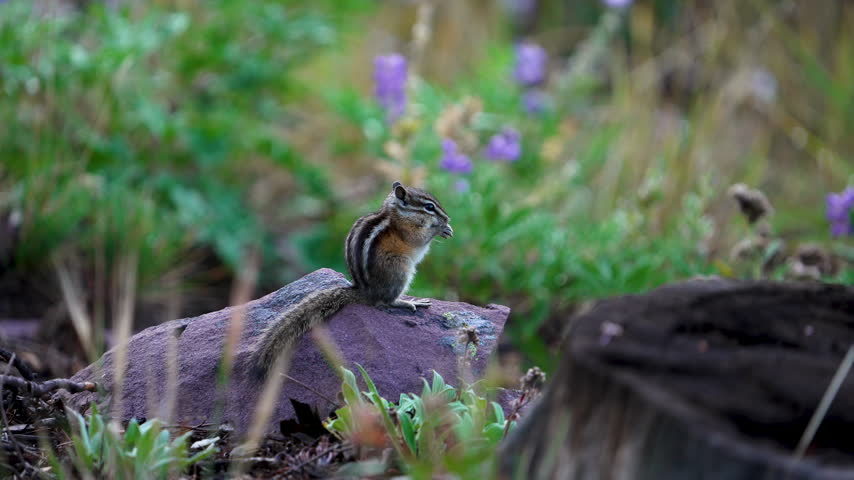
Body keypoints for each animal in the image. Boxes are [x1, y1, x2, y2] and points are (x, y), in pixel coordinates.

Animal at [253, 181, 453, 373]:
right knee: (384, 302)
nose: (447, 218)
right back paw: (409, 302)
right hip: (400, 269)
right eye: (429, 207)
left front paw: (446, 227)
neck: (398, 213)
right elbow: (419, 239)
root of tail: (365, 292)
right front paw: (441, 228)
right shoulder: (407, 231)